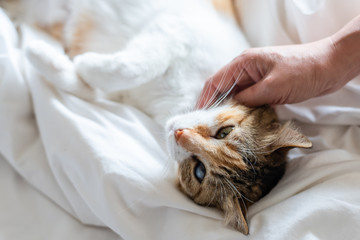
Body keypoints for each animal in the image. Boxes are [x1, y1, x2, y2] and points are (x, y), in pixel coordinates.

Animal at [0, 0, 312, 234]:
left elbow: (87, 85)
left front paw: (47, 56)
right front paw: (84, 62)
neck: (176, 99)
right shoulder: (176, 29)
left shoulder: (123, 93)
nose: (178, 133)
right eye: (225, 132)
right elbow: (135, 65)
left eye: (199, 171)